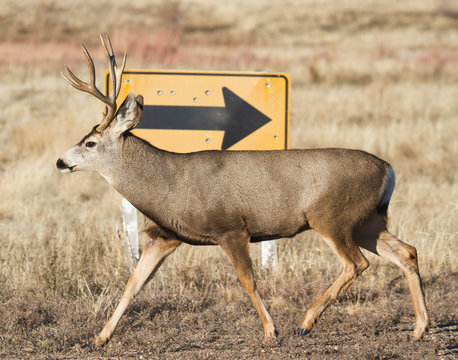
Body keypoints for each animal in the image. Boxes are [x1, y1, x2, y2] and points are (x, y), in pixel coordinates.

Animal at [56, 35, 430, 348]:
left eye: (90, 143)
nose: (60, 161)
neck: (169, 185)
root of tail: (389, 169)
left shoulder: (231, 228)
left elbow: (247, 279)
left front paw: (270, 332)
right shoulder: (165, 235)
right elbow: (132, 285)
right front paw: (100, 338)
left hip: (331, 217)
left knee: (356, 263)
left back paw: (306, 322)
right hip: (367, 221)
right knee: (407, 252)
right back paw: (419, 328)